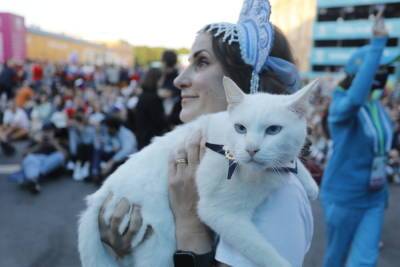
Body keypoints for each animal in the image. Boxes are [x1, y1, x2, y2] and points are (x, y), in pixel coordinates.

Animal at [78, 77, 318, 267]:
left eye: (273, 130)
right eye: (240, 128)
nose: (251, 149)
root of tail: (101, 193)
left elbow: (293, 162)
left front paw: (309, 184)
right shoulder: (222, 214)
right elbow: (264, 252)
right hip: (160, 245)